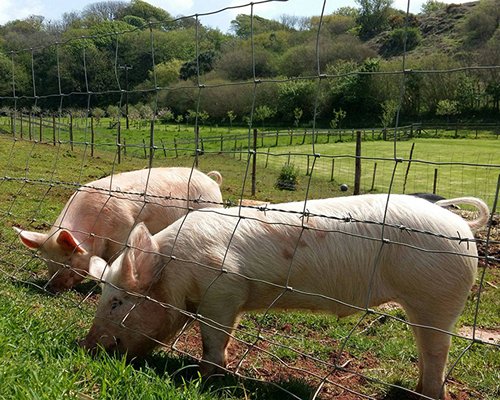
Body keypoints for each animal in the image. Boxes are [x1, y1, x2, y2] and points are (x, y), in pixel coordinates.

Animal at [13, 166, 223, 290]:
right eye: (47, 261)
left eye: (68, 260)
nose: (52, 288)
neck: (95, 231)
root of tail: (211, 181)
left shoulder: (123, 230)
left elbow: (116, 260)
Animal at [80, 193, 490, 396]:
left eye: (117, 302)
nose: (87, 346)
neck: (175, 270)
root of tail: (460, 225)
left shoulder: (224, 290)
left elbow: (214, 338)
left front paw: (206, 378)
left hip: (436, 297)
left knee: (436, 351)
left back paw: (425, 395)